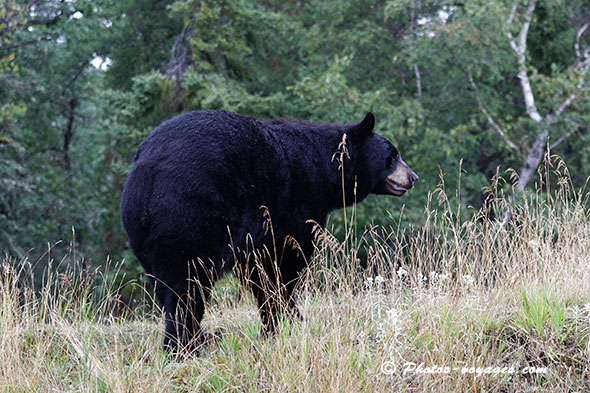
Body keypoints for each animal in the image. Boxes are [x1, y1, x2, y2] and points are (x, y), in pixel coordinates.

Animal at [119, 108, 416, 350]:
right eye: (392, 156)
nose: (412, 177)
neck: (323, 168)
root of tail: (147, 175)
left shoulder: (254, 233)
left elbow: (259, 270)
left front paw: (284, 321)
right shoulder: (293, 206)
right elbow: (283, 264)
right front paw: (284, 320)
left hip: (145, 236)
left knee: (166, 285)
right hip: (190, 218)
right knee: (187, 286)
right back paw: (187, 343)